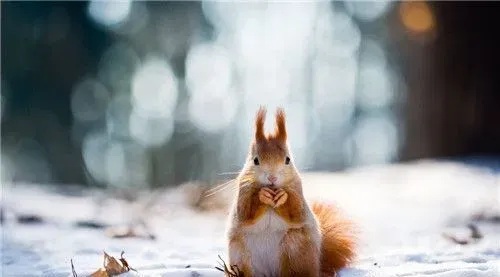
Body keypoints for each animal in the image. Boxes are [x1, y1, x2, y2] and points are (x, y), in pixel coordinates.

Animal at [225, 106, 358, 276]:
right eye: (255, 160)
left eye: (288, 159)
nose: (272, 178)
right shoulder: (243, 191)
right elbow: (245, 212)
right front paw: (262, 195)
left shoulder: (298, 191)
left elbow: (296, 211)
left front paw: (283, 197)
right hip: (240, 255)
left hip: (295, 250)